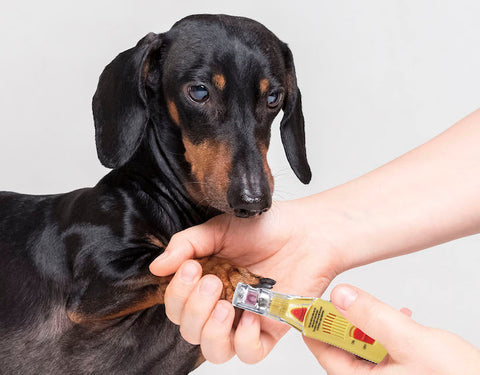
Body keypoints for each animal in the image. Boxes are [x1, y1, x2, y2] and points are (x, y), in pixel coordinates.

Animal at [0, 14, 312, 375]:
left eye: (274, 97)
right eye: (199, 91)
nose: (253, 200)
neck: (164, 196)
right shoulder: (95, 283)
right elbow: (174, 260)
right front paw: (228, 272)